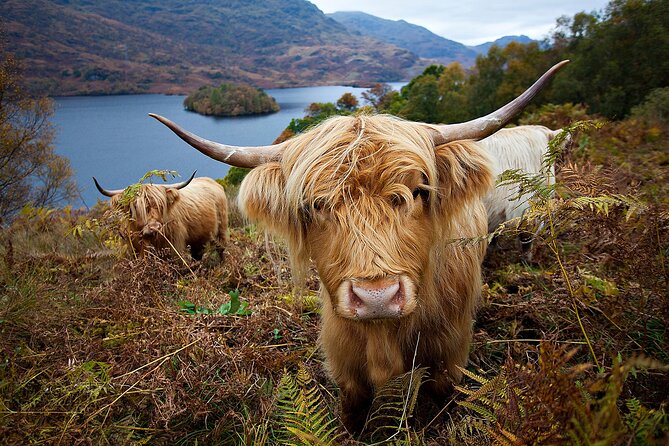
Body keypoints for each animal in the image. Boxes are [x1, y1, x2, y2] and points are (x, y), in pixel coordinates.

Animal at [93, 173, 229, 261]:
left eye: (160, 205)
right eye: (136, 207)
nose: (154, 227)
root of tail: (212, 181)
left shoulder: (174, 247)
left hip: (221, 229)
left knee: (221, 249)